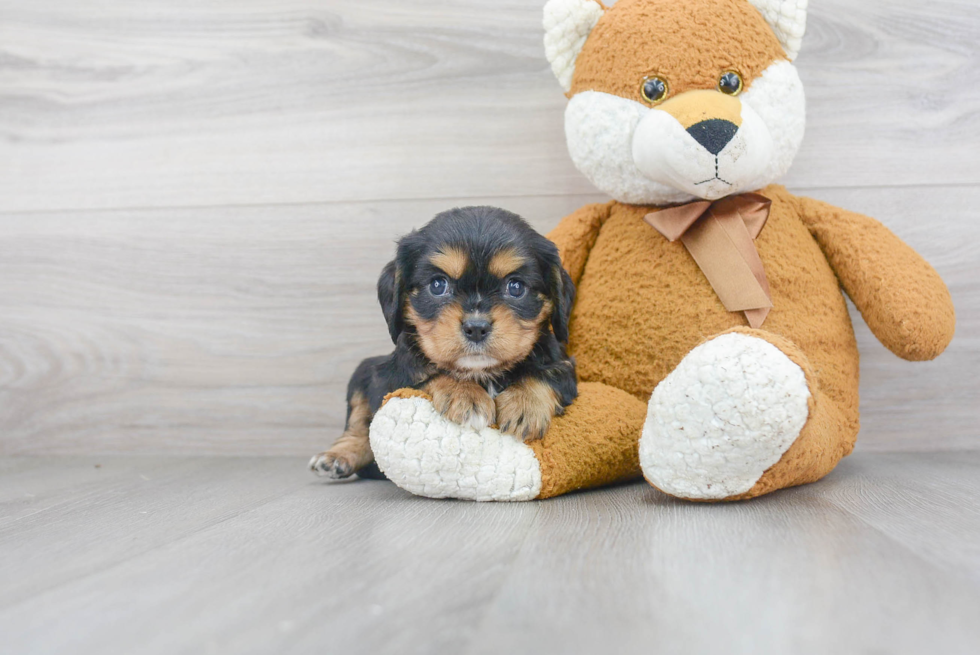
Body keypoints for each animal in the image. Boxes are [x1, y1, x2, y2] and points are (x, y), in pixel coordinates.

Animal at [310, 208, 580, 480]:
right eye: (438, 285)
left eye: (515, 287)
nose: (476, 327)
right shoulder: (390, 378)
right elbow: (425, 373)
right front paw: (464, 395)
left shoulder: (564, 365)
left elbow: (550, 373)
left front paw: (524, 406)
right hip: (363, 369)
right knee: (357, 427)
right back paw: (336, 458)